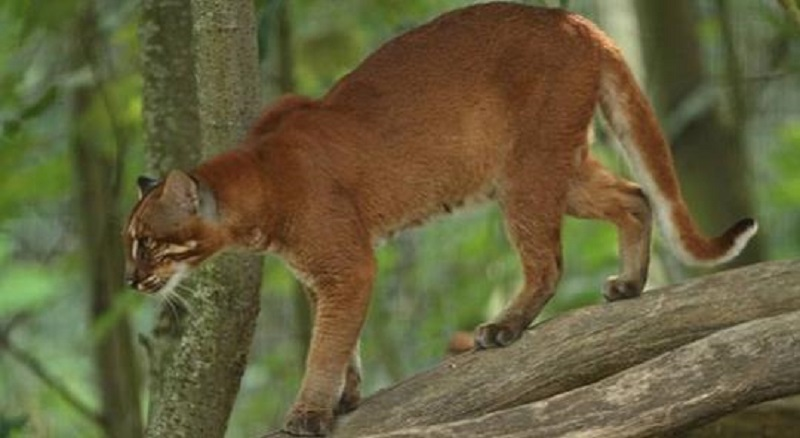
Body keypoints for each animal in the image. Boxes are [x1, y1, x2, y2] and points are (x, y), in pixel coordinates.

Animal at [123, 2, 756, 434]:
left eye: (147, 243)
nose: (131, 280)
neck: (258, 181)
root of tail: (574, 19)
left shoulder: (347, 267)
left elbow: (325, 345)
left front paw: (309, 412)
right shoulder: (321, 277)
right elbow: (342, 340)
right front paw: (346, 397)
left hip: (526, 174)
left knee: (548, 261)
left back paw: (504, 327)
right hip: (556, 167)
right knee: (635, 196)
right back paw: (628, 284)